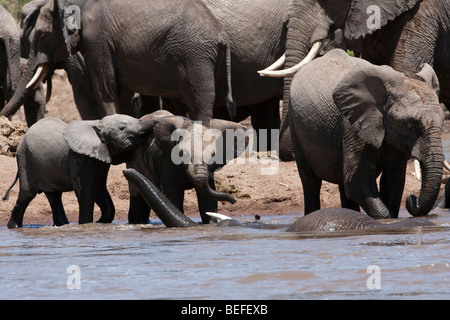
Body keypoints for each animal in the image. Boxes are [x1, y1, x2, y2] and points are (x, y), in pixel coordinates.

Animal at [1, 0, 236, 125]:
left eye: (41, 35)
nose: (3, 119)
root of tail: (222, 34)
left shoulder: (97, 38)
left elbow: (105, 85)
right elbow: (119, 89)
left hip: (197, 57)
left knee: (201, 101)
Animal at [3, 113, 155, 228]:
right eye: (122, 127)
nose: (154, 122)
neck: (97, 124)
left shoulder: (100, 159)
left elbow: (99, 188)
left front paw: (100, 222)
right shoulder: (78, 158)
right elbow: (87, 191)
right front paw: (87, 225)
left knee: (54, 195)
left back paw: (63, 225)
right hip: (25, 159)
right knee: (27, 194)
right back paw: (14, 226)